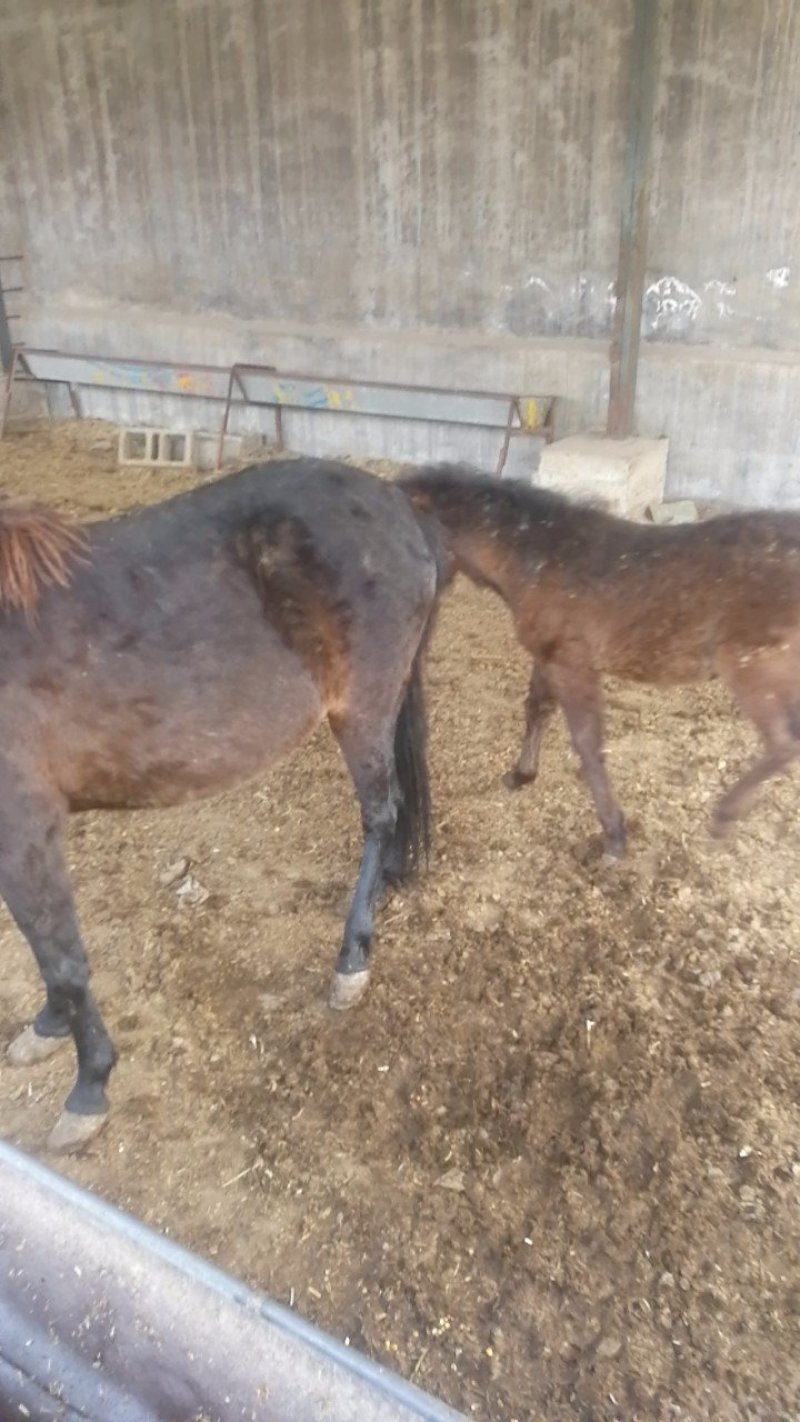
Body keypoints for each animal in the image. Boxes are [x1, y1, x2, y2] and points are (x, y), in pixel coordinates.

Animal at [0, 458, 443, 1153]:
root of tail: (394, 501)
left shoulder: (24, 827)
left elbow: (64, 958)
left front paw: (90, 1086)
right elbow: (45, 947)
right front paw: (46, 1026)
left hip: (362, 711)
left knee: (381, 814)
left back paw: (351, 961)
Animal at [401, 463, 800, 860]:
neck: (539, 556)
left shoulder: (570, 661)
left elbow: (586, 742)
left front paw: (614, 836)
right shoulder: (548, 656)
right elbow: (537, 708)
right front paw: (521, 775)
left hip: (752, 669)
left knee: (783, 743)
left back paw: (723, 817)